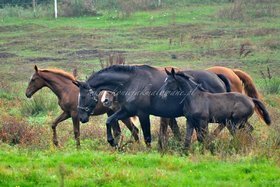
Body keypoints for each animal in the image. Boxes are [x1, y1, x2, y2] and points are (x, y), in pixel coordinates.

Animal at [73, 64, 231, 148]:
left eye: (84, 96)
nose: (81, 117)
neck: (132, 82)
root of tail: (217, 77)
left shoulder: (143, 114)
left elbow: (147, 136)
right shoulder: (126, 111)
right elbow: (109, 120)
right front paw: (112, 141)